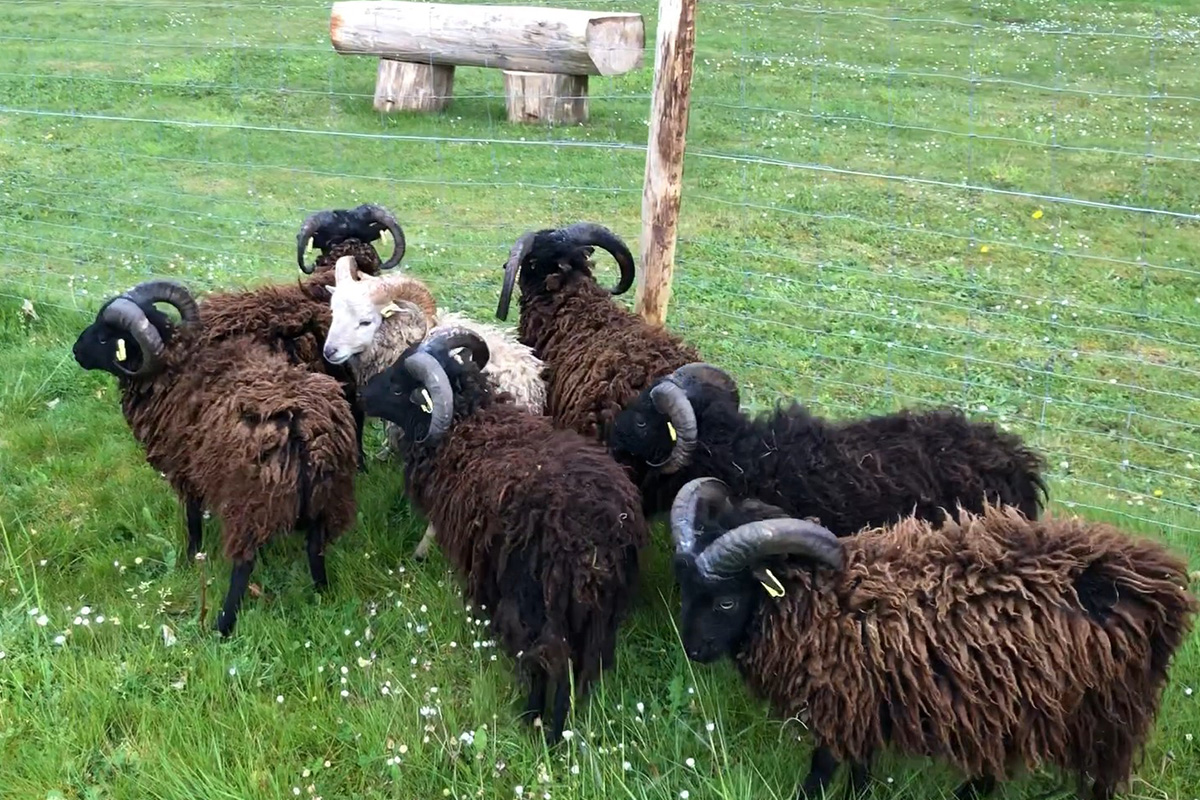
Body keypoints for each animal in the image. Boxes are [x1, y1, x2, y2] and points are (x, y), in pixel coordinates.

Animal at [72, 280, 358, 637]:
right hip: (326, 498)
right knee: (315, 549)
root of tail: (302, 430)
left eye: (104, 337)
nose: (76, 351)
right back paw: (321, 593)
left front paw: (190, 557)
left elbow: (193, 518)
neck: (175, 368)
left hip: (249, 503)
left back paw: (223, 625)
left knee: (244, 564)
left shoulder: (185, 469)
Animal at [358, 327, 649, 744]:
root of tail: (600, 537)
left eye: (399, 386)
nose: (361, 396)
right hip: (597, 613)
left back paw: (542, 727)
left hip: (538, 600)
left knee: (550, 660)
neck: (467, 424)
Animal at [669, 477, 1197, 800]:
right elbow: (860, 768)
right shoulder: (868, 703)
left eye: (727, 601)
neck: (819, 601)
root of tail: (1159, 582)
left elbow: (821, 769)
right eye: (685, 589)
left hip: (1108, 714)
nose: (693, 651)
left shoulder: (845, 702)